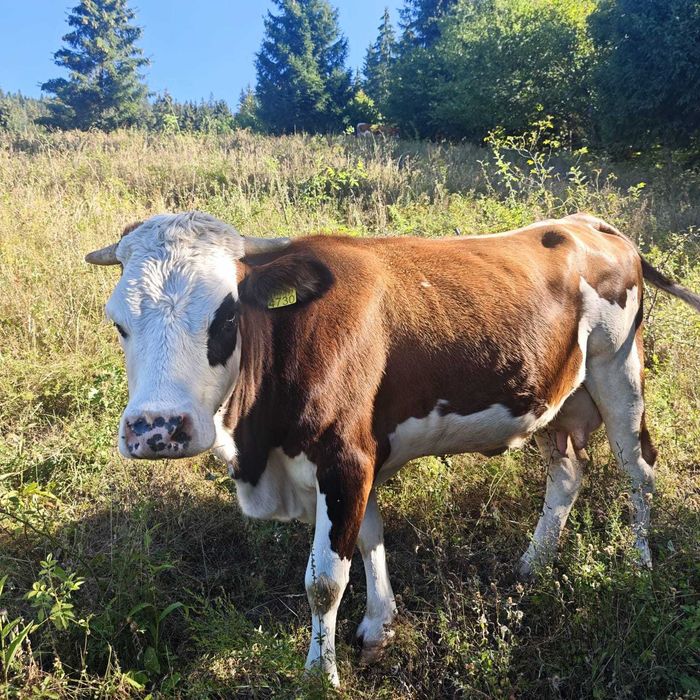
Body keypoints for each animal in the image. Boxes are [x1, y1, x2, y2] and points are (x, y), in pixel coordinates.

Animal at [85, 212, 700, 686]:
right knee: (567, 476)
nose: (157, 428)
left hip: (618, 370)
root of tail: (588, 223)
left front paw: (320, 676)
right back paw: (533, 564)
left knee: (638, 469)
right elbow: (369, 540)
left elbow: (324, 582)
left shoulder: (345, 459)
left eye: (228, 315)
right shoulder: (359, 456)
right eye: (117, 322)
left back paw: (639, 564)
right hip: (556, 393)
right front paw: (379, 625)